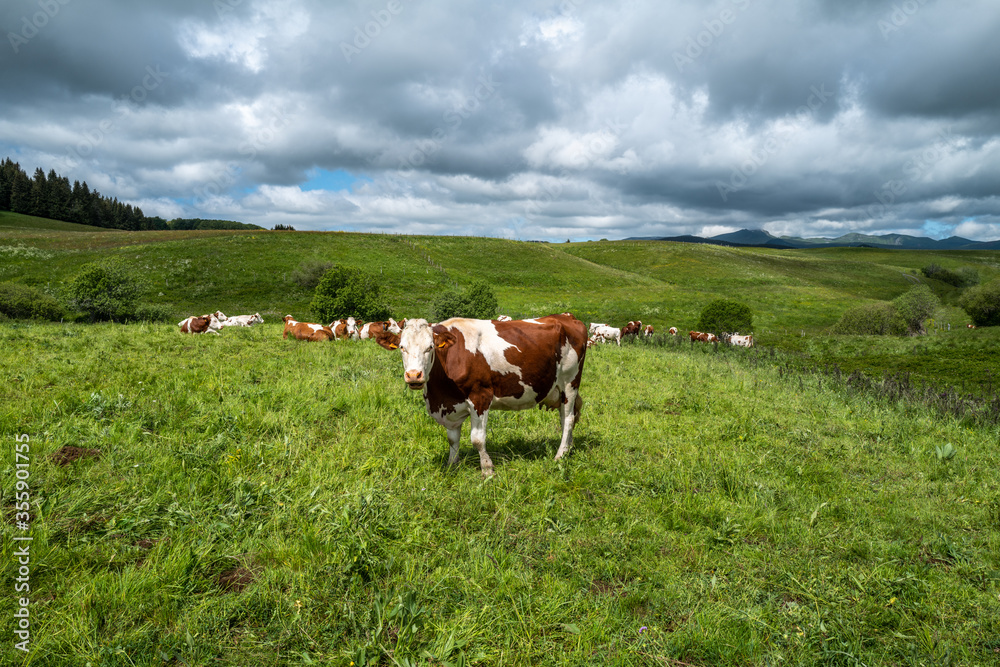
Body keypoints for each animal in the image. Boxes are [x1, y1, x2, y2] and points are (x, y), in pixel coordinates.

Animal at [378, 316, 588, 478]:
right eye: (402, 347)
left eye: (430, 347)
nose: (414, 375)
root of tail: (566, 317)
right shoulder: (450, 405)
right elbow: (452, 439)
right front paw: (452, 465)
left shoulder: (480, 397)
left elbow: (477, 439)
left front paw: (487, 470)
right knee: (565, 418)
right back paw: (568, 448)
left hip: (570, 383)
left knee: (568, 419)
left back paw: (560, 455)